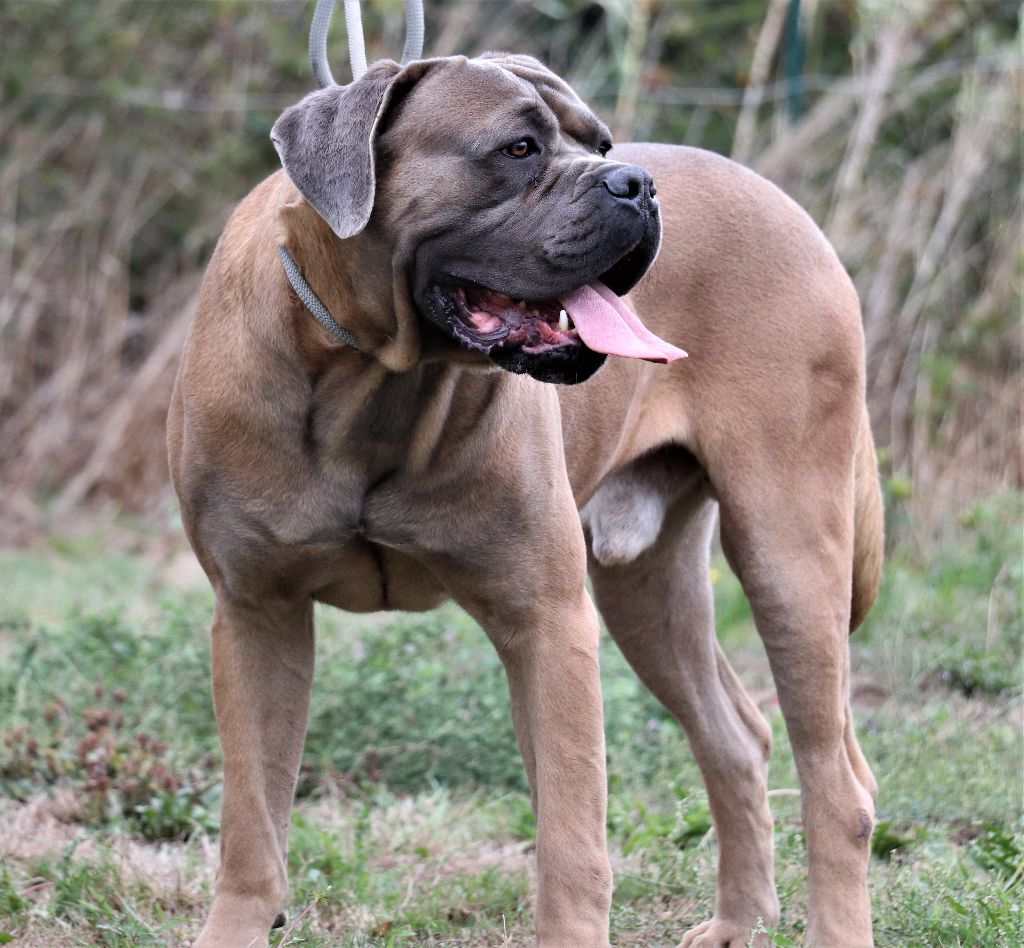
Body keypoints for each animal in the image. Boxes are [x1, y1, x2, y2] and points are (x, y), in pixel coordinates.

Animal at [165, 53, 880, 948]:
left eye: (600, 142)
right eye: (517, 148)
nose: (635, 183)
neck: (372, 381)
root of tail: (787, 206)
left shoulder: (546, 619)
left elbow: (572, 841)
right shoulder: (257, 614)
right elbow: (252, 820)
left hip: (788, 553)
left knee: (837, 783)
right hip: (647, 586)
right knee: (736, 737)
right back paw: (739, 922)